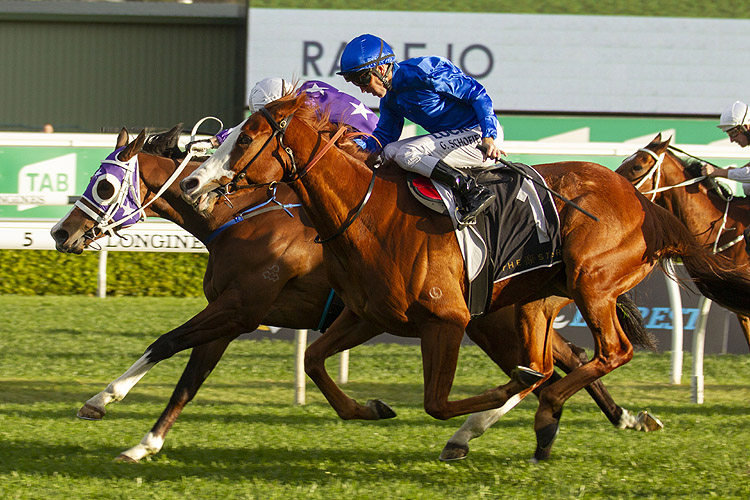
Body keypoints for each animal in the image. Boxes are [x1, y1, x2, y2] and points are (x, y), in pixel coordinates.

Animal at [50, 127, 656, 462]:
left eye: (104, 184)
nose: (60, 233)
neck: (239, 216)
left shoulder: (238, 308)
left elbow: (168, 343)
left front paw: (104, 400)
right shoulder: (232, 315)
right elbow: (188, 379)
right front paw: (144, 441)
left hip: (492, 320)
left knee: (553, 365)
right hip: (497, 320)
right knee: (560, 361)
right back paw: (616, 418)